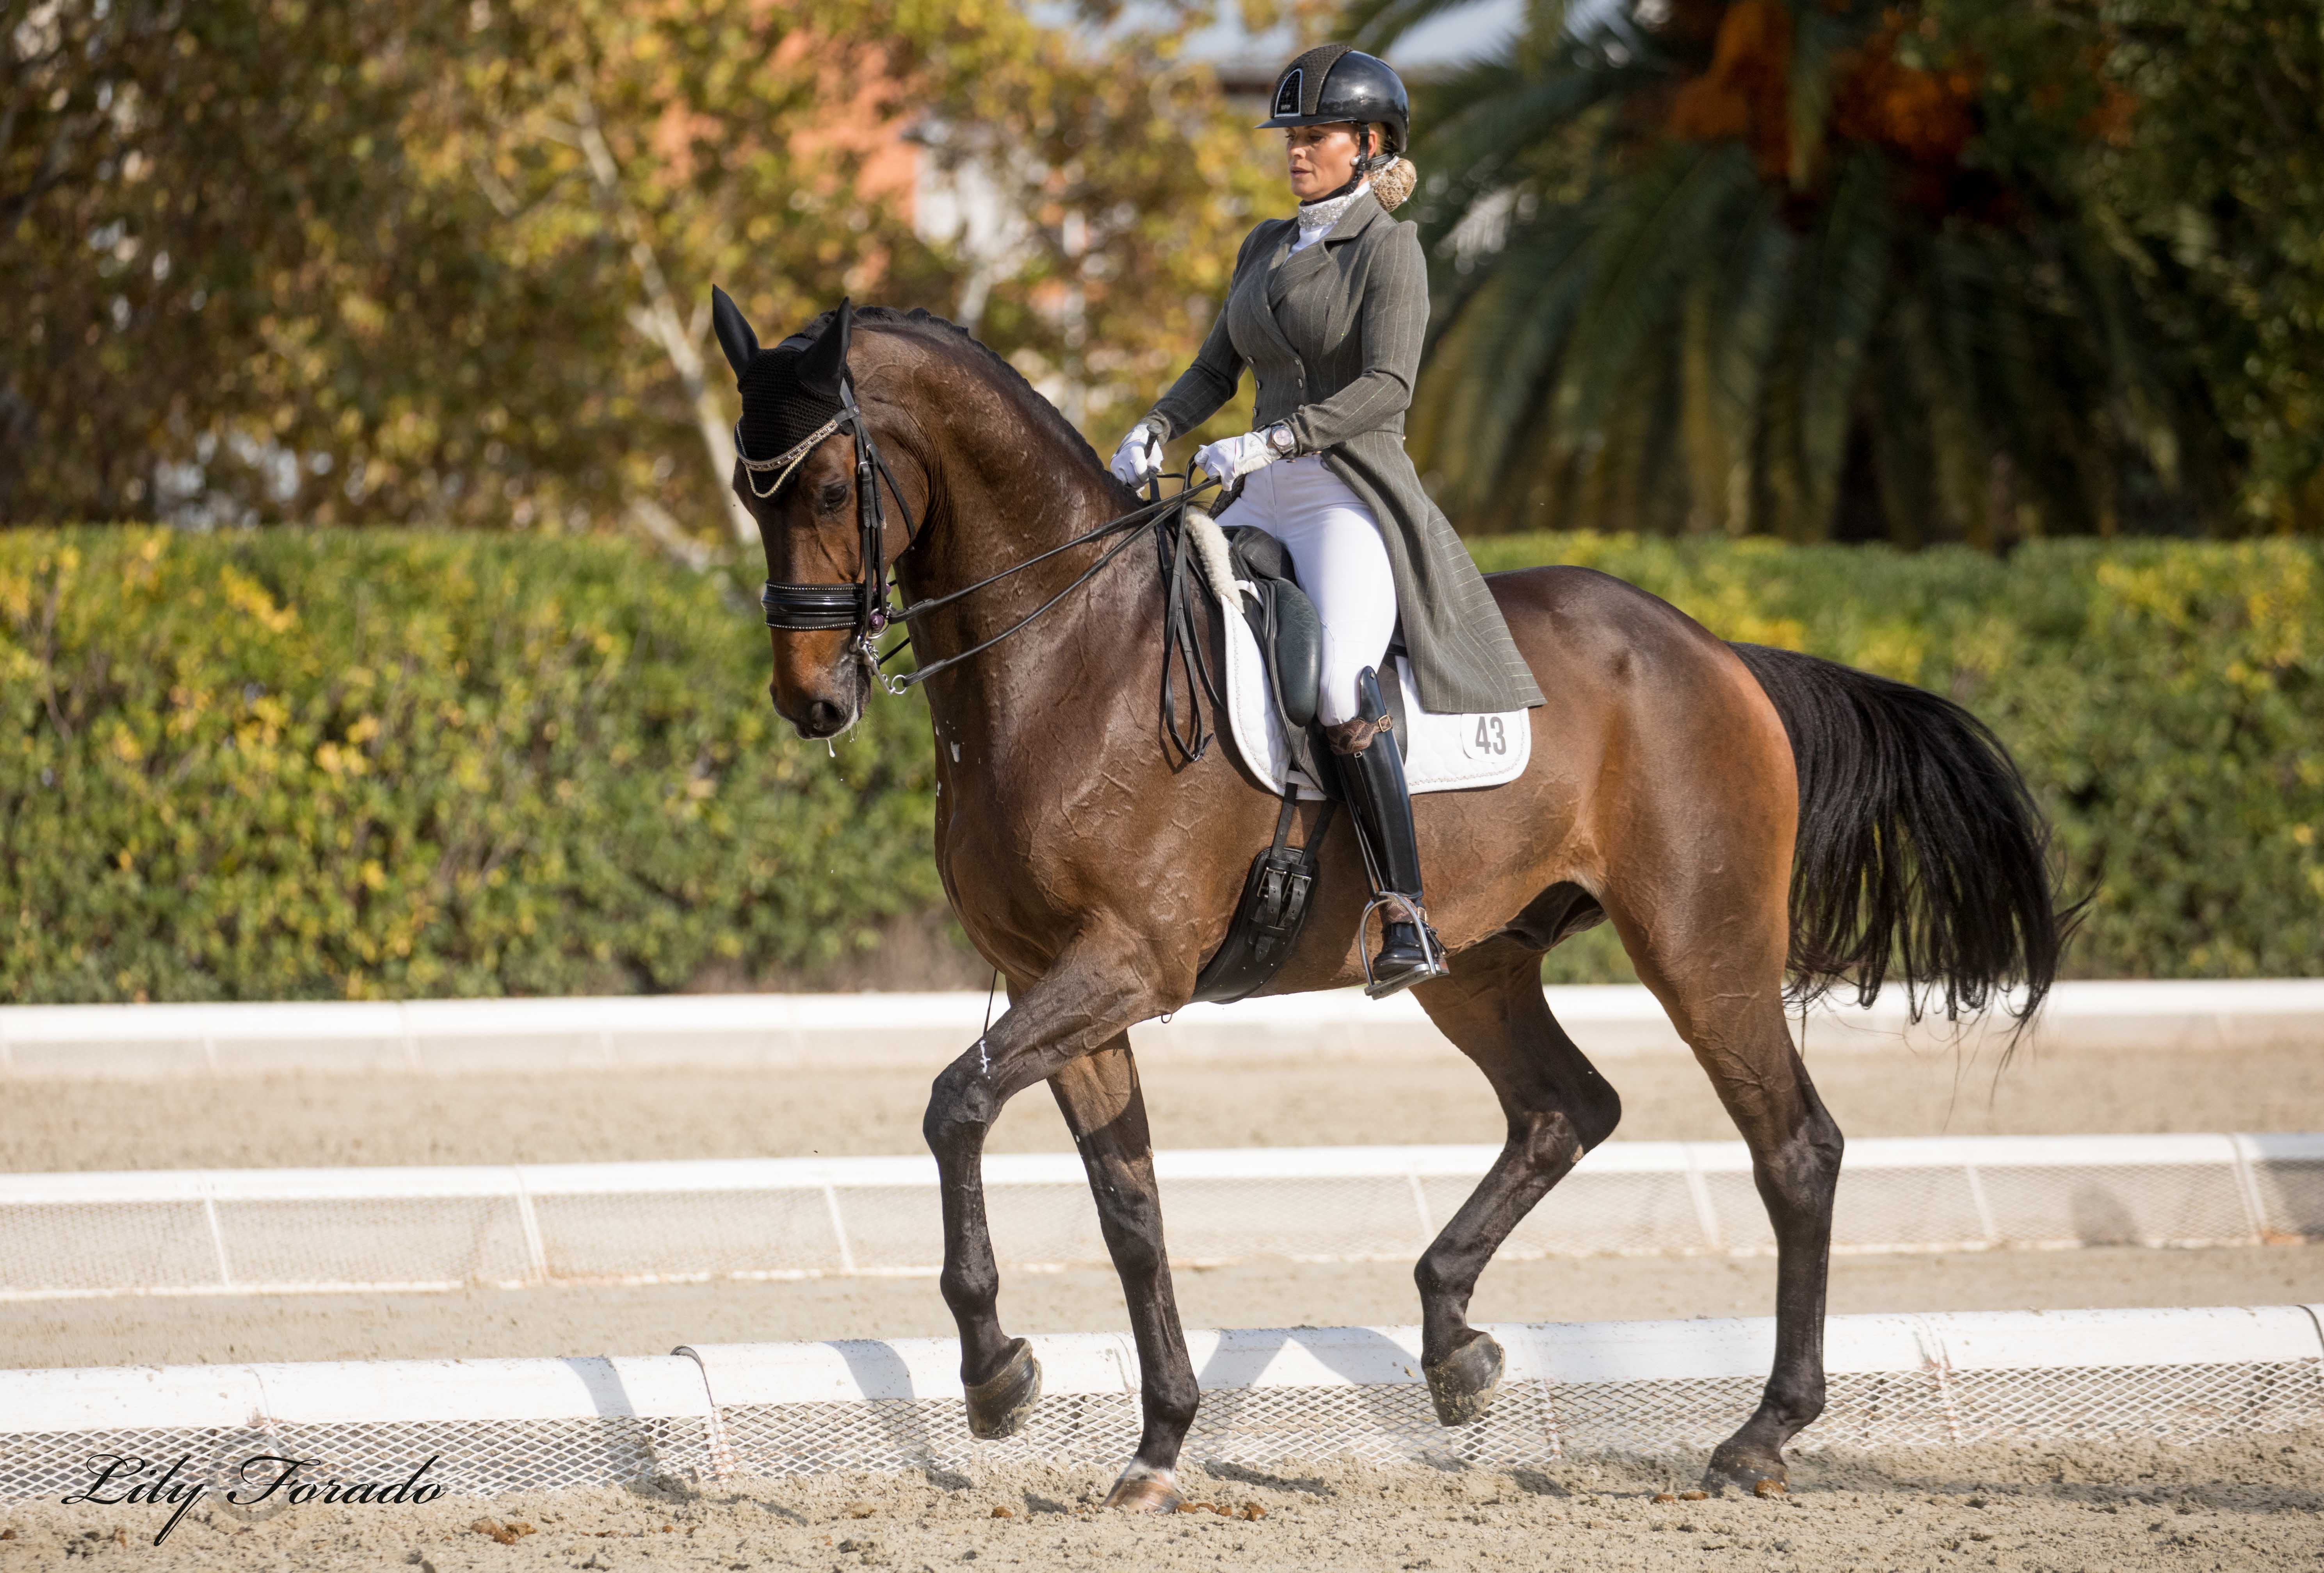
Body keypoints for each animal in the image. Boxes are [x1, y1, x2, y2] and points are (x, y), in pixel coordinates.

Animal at [715, 297, 2064, 1505]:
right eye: (749, 490)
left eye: (828, 491)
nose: (810, 699)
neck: (1064, 657)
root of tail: (1716, 651)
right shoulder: (1063, 982)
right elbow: (1127, 1205)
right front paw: (1157, 1442)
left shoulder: (1128, 962)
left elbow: (956, 1103)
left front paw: (995, 1371)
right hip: (1479, 961)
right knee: (1565, 1106)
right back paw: (1454, 1342)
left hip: (1704, 945)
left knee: (1793, 1146)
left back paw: (1759, 1433)